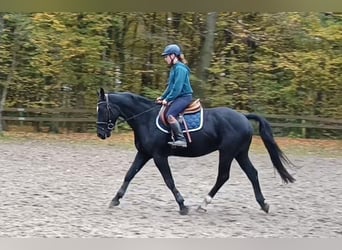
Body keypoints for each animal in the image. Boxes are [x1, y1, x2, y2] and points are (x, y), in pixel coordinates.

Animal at [97, 88, 296, 215]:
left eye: (103, 109)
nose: (100, 134)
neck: (146, 119)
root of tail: (243, 116)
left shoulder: (159, 156)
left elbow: (169, 181)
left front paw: (182, 205)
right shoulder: (144, 154)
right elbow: (129, 174)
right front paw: (115, 199)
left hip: (227, 152)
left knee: (223, 176)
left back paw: (204, 204)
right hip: (240, 153)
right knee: (252, 173)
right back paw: (263, 204)